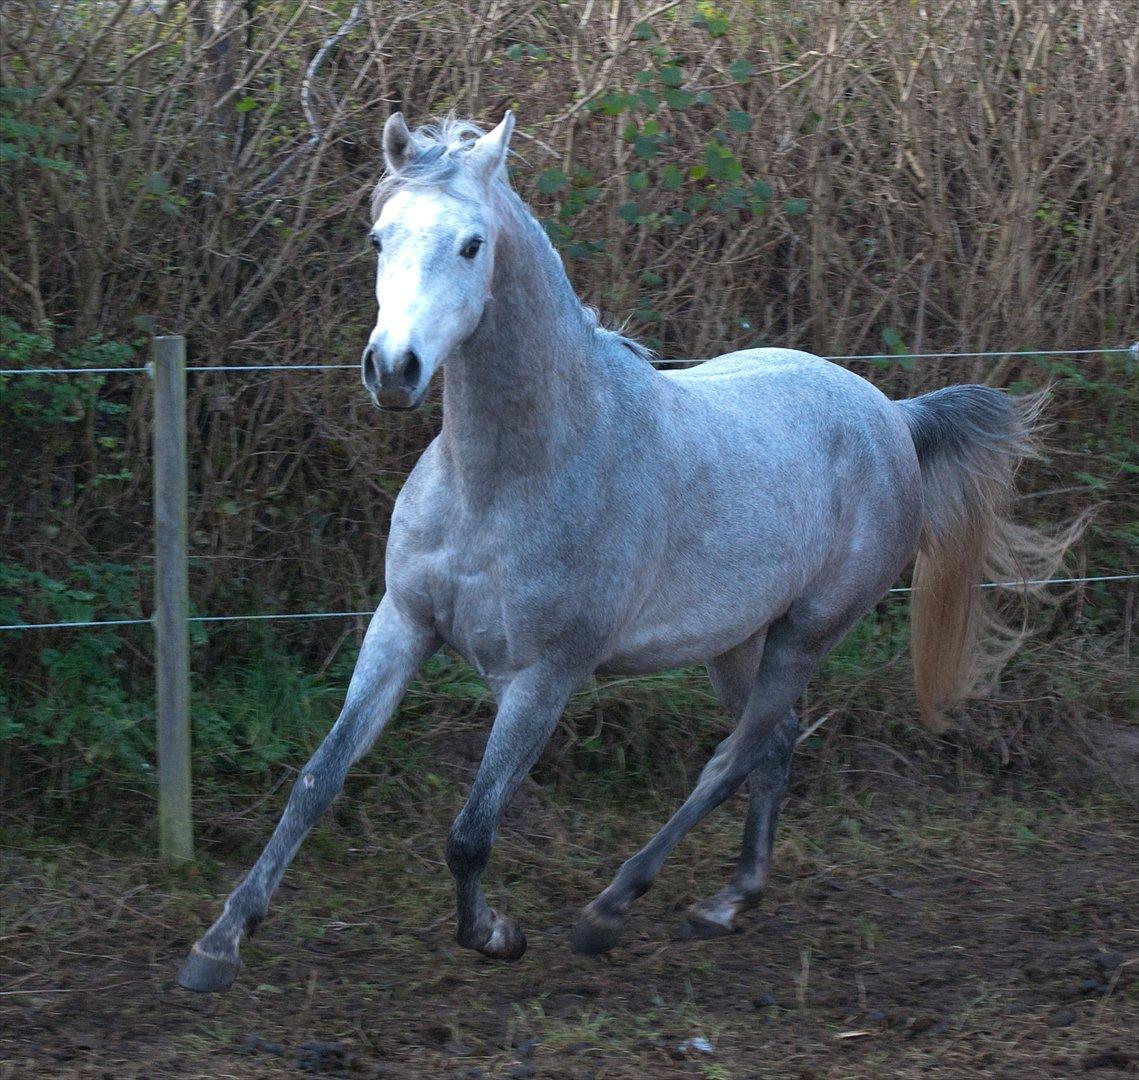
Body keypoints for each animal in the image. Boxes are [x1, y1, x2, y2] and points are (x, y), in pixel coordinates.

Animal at [175, 113, 1066, 993]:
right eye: (377, 236)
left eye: (471, 244)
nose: (393, 370)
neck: (504, 478)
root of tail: (892, 415)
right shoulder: (401, 625)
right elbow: (317, 779)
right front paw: (219, 943)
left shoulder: (545, 675)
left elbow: (470, 829)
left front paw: (494, 934)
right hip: (737, 640)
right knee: (772, 744)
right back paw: (728, 900)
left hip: (807, 633)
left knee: (731, 757)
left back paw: (610, 910)